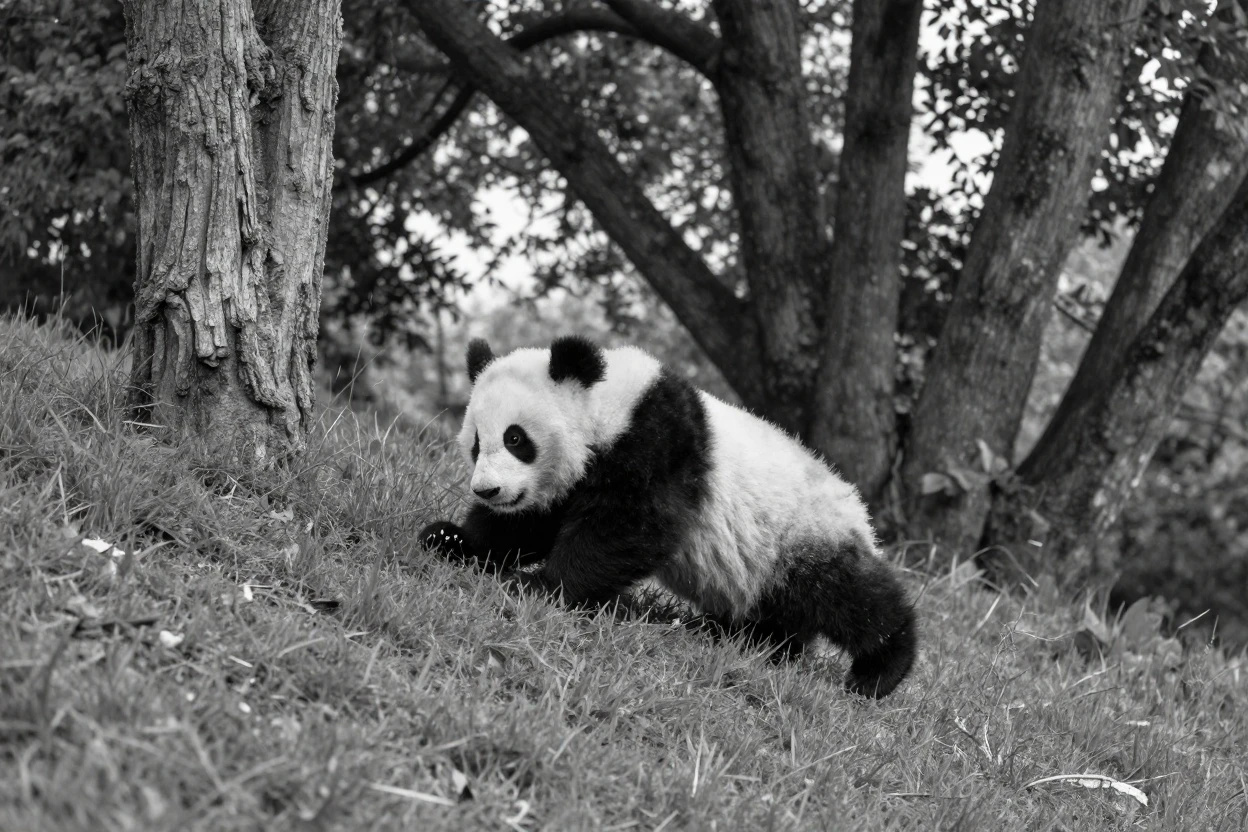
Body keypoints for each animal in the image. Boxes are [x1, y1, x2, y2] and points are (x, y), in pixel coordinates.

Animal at [420, 336, 917, 698]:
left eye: (516, 438)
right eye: (476, 444)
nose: (487, 490)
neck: (610, 403)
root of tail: (857, 512)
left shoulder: (658, 444)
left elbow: (630, 528)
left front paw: (540, 585)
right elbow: (529, 522)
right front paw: (452, 541)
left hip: (800, 535)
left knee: (849, 597)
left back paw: (881, 669)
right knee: (781, 620)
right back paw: (742, 640)